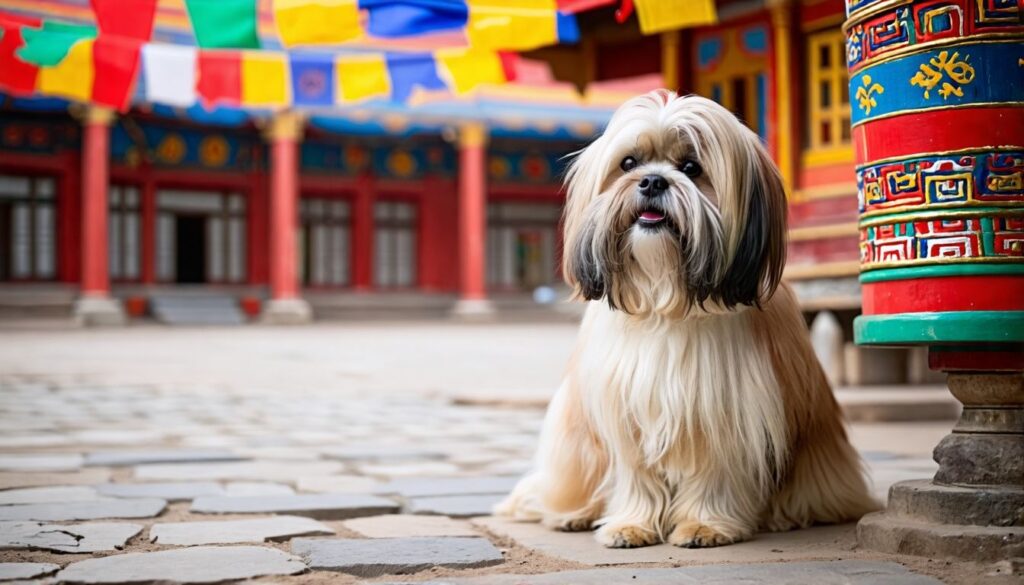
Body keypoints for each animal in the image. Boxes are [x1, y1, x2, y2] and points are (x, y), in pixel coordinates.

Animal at [491, 90, 876, 549]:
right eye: (629, 163)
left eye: (691, 167)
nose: (653, 181)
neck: (667, 303)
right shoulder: (625, 409)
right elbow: (637, 476)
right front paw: (631, 524)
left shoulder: (725, 409)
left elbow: (715, 472)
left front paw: (703, 525)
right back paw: (574, 514)